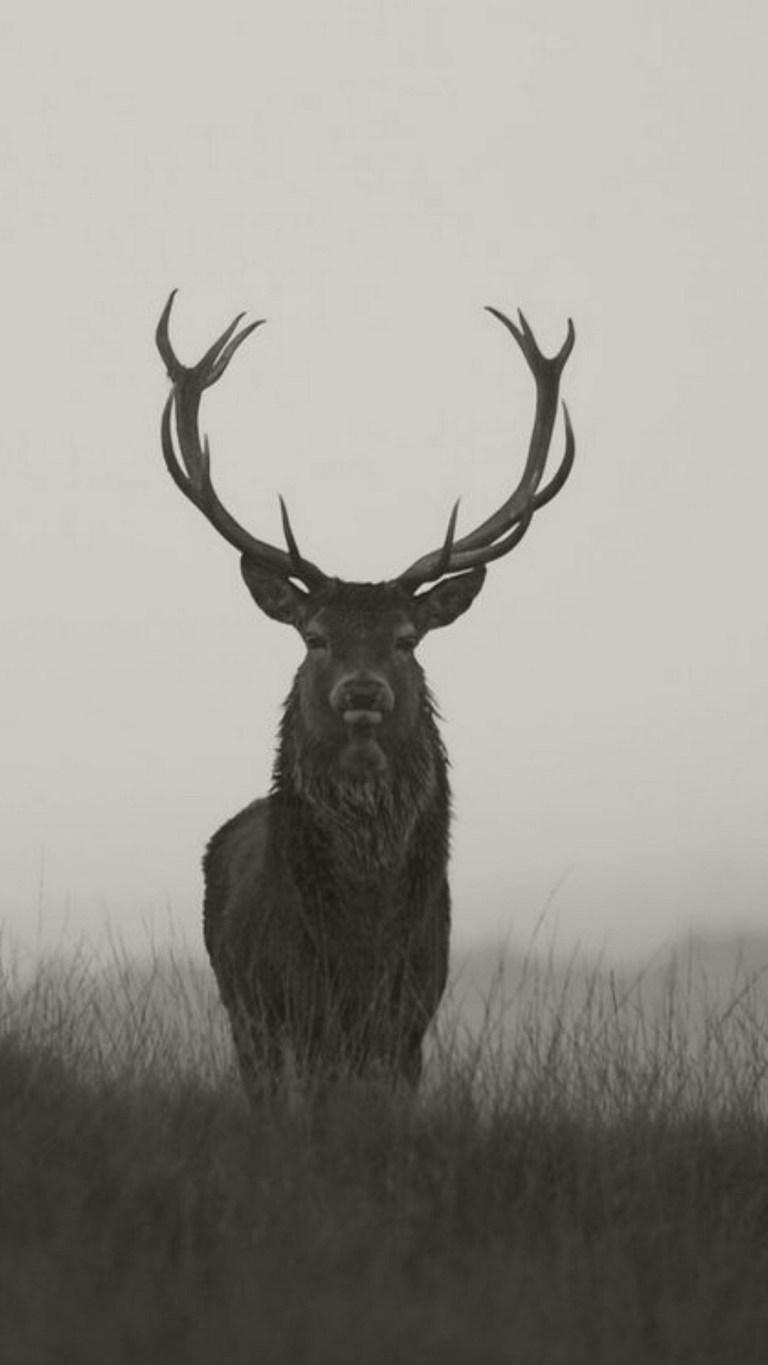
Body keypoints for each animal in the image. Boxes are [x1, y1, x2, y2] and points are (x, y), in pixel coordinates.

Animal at [156, 291, 575, 1094]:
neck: (362, 937)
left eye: (408, 639)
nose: (363, 689)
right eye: (314, 636)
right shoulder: (290, 1005)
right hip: (241, 1007)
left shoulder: (411, 1014)